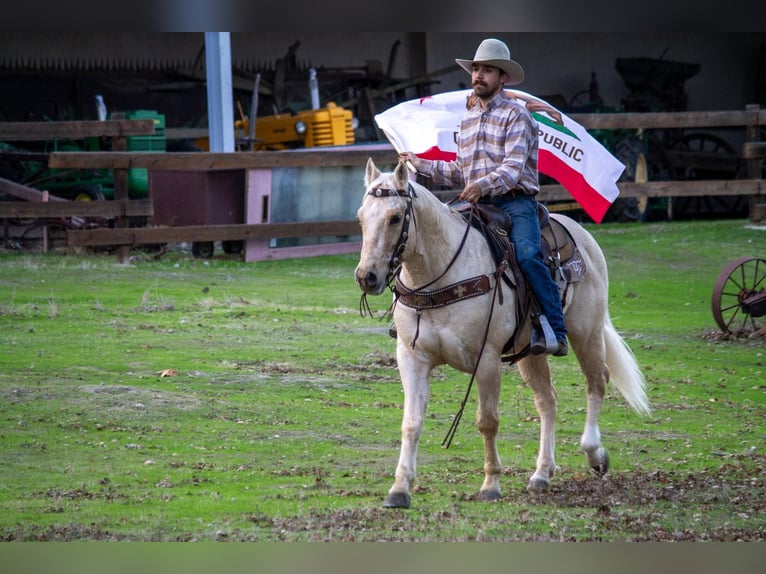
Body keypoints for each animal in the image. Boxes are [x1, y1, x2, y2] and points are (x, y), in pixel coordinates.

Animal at [356, 159, 652, 512]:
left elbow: (487, 421)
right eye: (361, 217)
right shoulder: (412, 358)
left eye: (395, 217)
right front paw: (400, 489)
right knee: (547, 400)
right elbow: (411, 423)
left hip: (586, 333)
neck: (440, 276)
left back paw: (595, 455)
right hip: (531, 353)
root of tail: (580, 234)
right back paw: (541, 474)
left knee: (597, 382)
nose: (367, 277)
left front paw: (490, 485)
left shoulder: (486, 360)